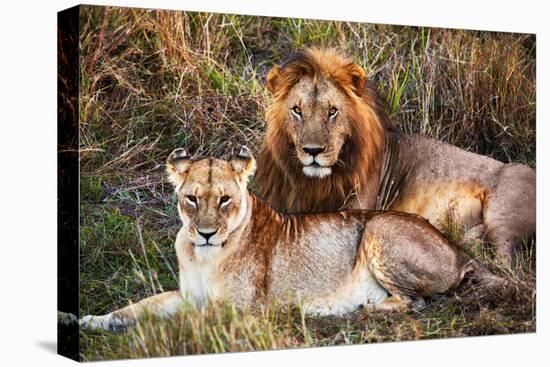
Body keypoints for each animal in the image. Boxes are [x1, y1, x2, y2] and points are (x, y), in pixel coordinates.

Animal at [80, 147, 506, 334]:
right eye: (192, 199)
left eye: (224, 199)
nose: (205, 232)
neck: (203, 255)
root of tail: (458, 251)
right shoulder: (187, 294)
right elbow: (139, 306)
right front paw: (91, 320)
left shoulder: (242, 310)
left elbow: (189, 321)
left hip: (378, 227)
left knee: (414, 302)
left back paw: (353, 309)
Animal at [256, 49, 536, 268]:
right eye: (297, 110)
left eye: (332, 111)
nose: (312, 151)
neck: (312, 183)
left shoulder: (357, 208)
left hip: (504, 207)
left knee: (505, 263)